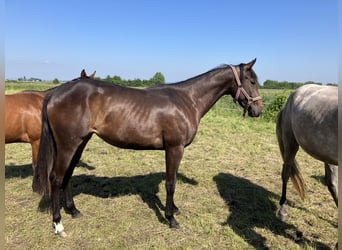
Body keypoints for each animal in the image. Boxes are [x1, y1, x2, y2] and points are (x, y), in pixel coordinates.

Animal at [33, 59, 264, 235]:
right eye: (252, 81)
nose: (258, 110)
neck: (188, 100)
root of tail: (55, 93)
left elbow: (172, 180)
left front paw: (174, 209)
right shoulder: (175, 148)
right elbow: (171, 184)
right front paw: (171, 219)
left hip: (80, 142)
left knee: (68, 175)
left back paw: (74, 211)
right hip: (68, 145)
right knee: (56, 178)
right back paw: (58, 224)